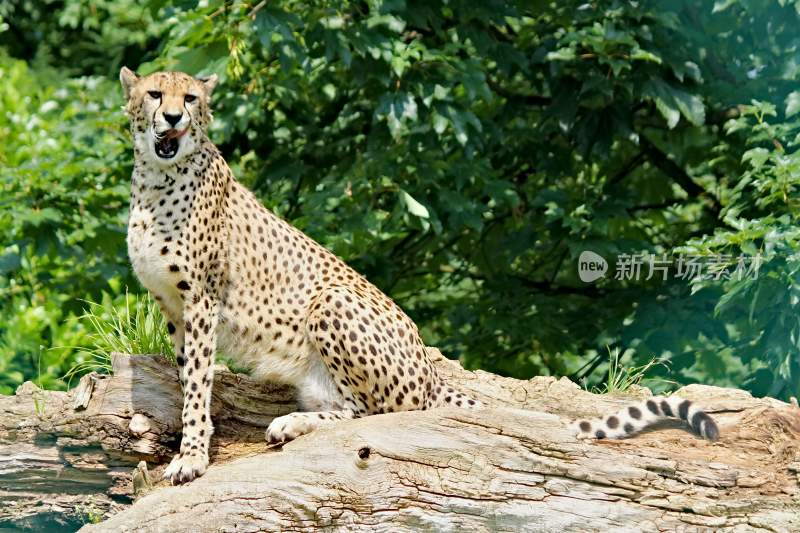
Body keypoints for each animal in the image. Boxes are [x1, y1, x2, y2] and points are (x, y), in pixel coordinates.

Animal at [122, 66, 720, 482]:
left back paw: (291, 424)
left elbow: (198, 384)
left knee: (375, 415)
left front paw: (192, 457)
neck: (155, 182)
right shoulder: (172, 304)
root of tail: (429, 367)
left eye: (190, 99)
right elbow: (188, 376)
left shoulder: (202, 299)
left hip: (332, 301)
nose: (172, 119)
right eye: (154, 95)